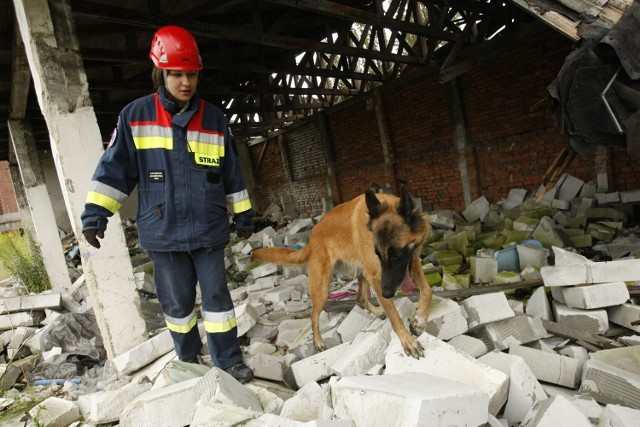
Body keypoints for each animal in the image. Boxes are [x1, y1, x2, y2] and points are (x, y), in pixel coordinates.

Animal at [252, 187, 432, 358]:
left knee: (360, 298)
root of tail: (311, 239)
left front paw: (420, 321)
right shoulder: (377, 276)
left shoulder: (413, 262)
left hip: (362, 273)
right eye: (378, 254)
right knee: (314, 315)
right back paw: (318, 341)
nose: (387, 293)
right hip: (323, 288)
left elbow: (428, 291)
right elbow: (395, 317)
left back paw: (378, 311)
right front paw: (408, 341)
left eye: (397, 254)